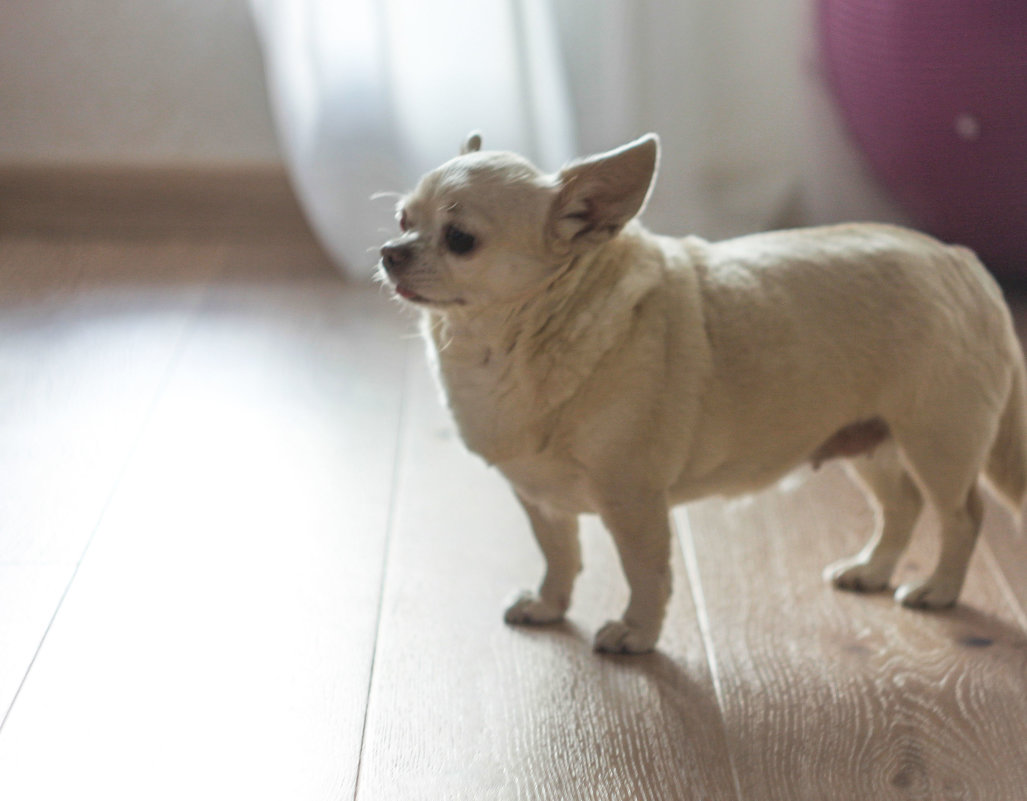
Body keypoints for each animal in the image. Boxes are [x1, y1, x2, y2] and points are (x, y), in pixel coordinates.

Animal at [377, 132, 1027, 649]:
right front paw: (549, 606)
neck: (500, 344)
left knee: (962, 515)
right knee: (904, 506)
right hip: (870, 440)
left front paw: (636, 635)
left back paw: (939, 588)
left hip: (937, 443)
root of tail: (961, 263)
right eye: (403, 221)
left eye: (460, 239)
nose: (388, 253)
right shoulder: (540, 499)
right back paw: (872, 570)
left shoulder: (632, 500)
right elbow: (560, 557)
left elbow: (645, 573)